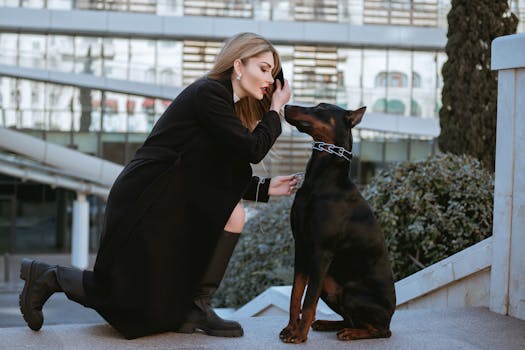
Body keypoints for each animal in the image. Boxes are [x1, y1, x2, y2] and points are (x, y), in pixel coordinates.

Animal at [280, 102, 396, 344]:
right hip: (330, 286)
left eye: (321, 107)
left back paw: (352, 333)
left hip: (351, 293)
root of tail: (391, 314)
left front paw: (299, 335)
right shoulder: (302, 247)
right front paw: (290, 329)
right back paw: (328, 324)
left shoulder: (322, 252)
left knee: (380, 330)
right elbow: (296, 295)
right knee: (349, 318)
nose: (286, 105)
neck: (321, 181)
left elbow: (308, 301)